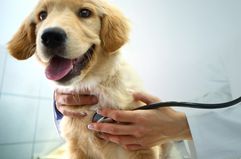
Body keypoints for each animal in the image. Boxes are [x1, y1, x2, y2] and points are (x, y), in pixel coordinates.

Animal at [7, 0, 180, 159]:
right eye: (42, 15)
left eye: (85, 13)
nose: (50, 37)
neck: (93, 86)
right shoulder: (76, 148)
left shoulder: (141, 146)